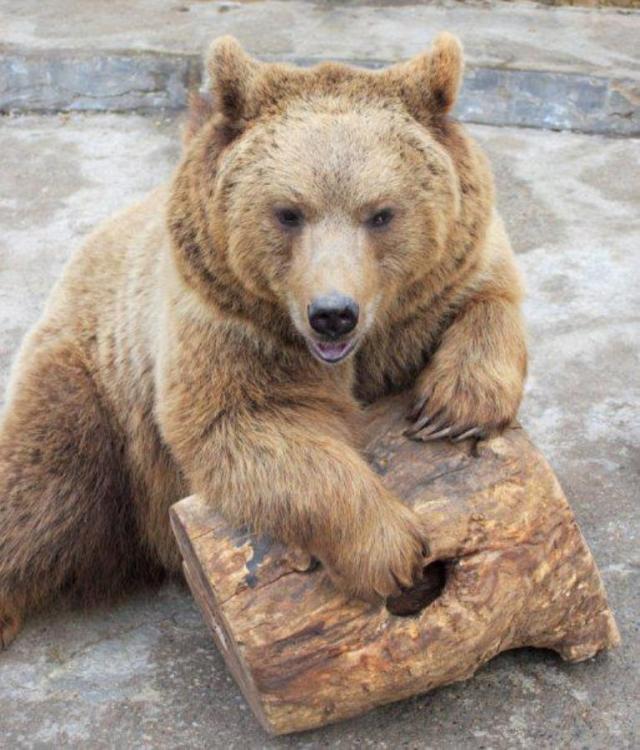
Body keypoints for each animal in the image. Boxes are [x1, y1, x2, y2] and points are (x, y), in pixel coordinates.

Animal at [0, 33, 527, 649]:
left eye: (381, 214)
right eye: (288, 212)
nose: (332, 315)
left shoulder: (445, 277)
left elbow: (490, 300)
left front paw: (451, 410)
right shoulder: (229, 328)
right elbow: (247, 428)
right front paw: (390, 552)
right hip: (95, 387)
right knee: (42, 488)